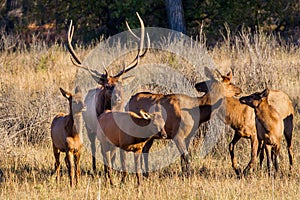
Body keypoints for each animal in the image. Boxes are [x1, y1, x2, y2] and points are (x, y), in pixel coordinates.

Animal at [66, 12, 149, 175]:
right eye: (107, 86)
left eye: (120, 84)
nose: (118, 98)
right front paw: (106, 171)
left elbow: (114, 154)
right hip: (89, 128)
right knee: (93, 147)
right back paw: (94, 168)